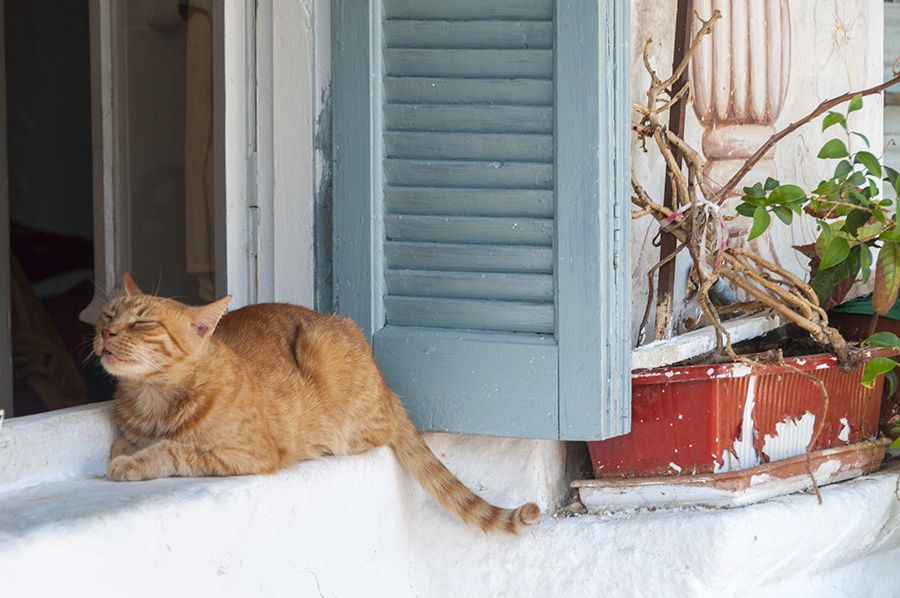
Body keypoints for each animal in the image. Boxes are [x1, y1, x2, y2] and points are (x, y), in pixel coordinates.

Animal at [95, 276, 536, 536]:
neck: (153, 400)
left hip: (322, 342)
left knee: (378, 430)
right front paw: (127, 453)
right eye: (108, 314)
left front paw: (133, 463)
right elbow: (125, 443)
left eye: (142, 323)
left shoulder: (249, 455)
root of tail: (387, 387)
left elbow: (174, 450)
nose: (105, 332)